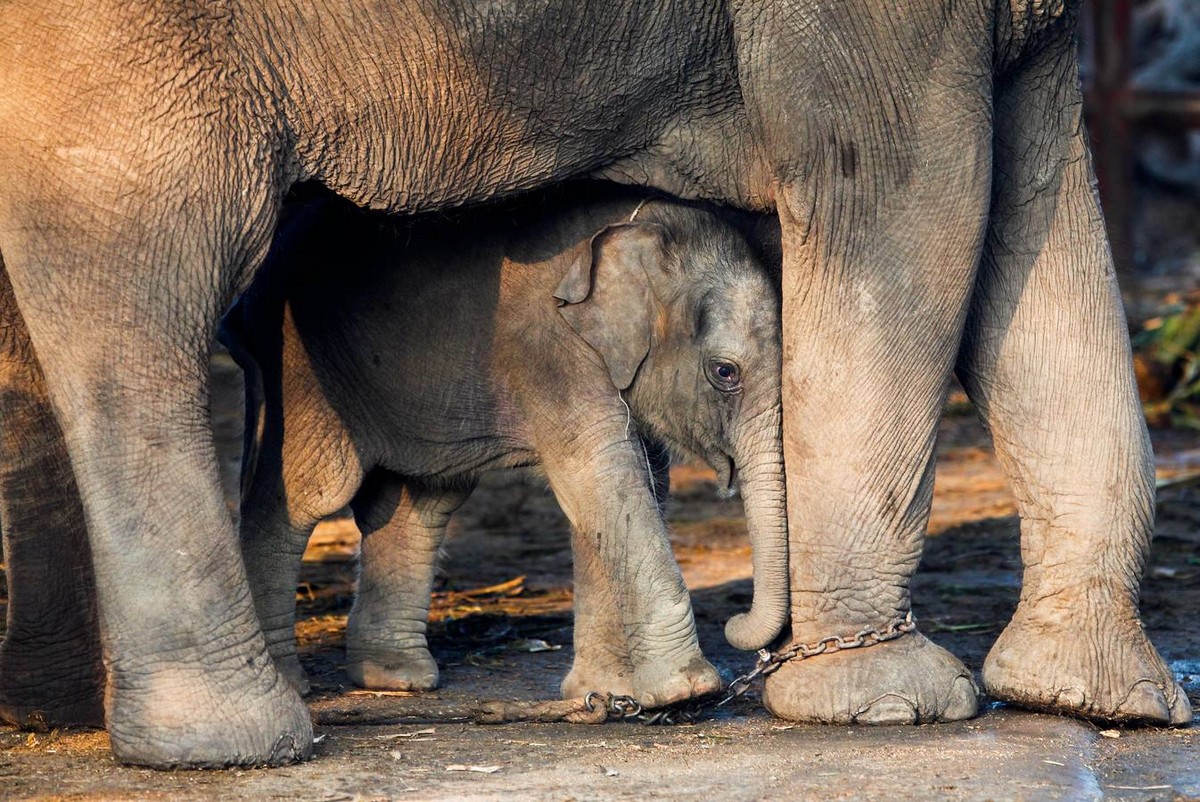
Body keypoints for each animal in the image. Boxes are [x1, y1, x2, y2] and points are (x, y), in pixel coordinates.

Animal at [224, 188, 787, 705]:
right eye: (724, 373)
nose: (739, 625)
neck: (645, 228)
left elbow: (628, 489)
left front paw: (602, 696)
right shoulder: (555, 352)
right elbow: (603, 479)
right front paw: (687, 692)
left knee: (420, 501)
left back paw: (396, 679)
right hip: (301, 370)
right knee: (306, 493)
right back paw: (292, 686)